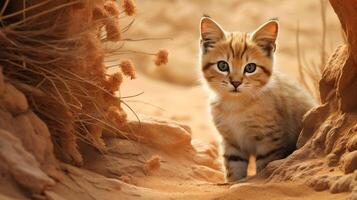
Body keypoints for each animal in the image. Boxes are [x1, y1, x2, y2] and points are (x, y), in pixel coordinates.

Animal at [199, 17, 316, 182]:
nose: (236, 83)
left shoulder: (270, 140)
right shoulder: (231, 141)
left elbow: (264, 167)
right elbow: (233, 167)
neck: (235, 105)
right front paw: (233, 182)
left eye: (250, 68)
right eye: (222, 65)